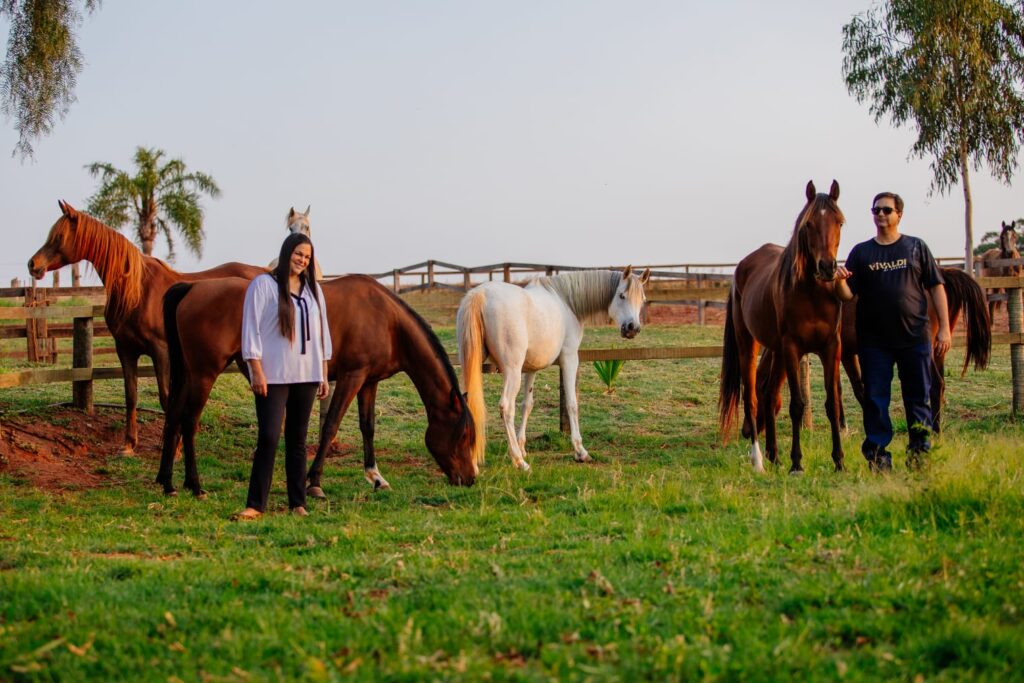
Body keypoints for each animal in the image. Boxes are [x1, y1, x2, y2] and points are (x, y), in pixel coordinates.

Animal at [26, 201, 266, 454]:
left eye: (59, 236)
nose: (33, 264)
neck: (138, 290)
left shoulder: (161, 352)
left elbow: (166, 398)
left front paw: (175, 449)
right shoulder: (126, 350)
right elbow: (131, 396)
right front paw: (129, 444)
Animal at [157, 275, 477, 498]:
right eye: (463, 435)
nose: (470, 479)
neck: (387, 321)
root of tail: (193, 287)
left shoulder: (368, 382)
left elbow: (368, 427)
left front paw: (376, 477)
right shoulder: (351, 377)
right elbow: (331, 425)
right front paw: (314, 482)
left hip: (187, 374)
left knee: (173, 418)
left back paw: (168, 483)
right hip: (204, 374)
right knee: (189, 422)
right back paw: (195, 485)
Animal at [457, 266, 650, 471]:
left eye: (643, 299)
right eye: (622, 295)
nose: (632, 328)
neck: (566, 302)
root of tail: (480, 294)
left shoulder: (530, 369)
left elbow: (527, 405)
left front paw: (523, 446)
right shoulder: (569, 358)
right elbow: (571, 404)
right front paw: (580, 451)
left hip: (472, 365)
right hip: (512, 371)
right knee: (506, 407)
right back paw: (519, 461)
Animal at [719, 180, 846, 474]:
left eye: (839, 222)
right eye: (808, 225)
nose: (827, 267)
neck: (812, 292)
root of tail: (742, 268)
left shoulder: (831, 348)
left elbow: (832, 403)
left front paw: (838, 461)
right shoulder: (793, 348)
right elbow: (797, 405)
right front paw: (797, 463)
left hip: (775, 351)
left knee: (768, 394)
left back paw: (774, 454)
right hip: (749, 346)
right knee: (752, 399)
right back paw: (759, 460)